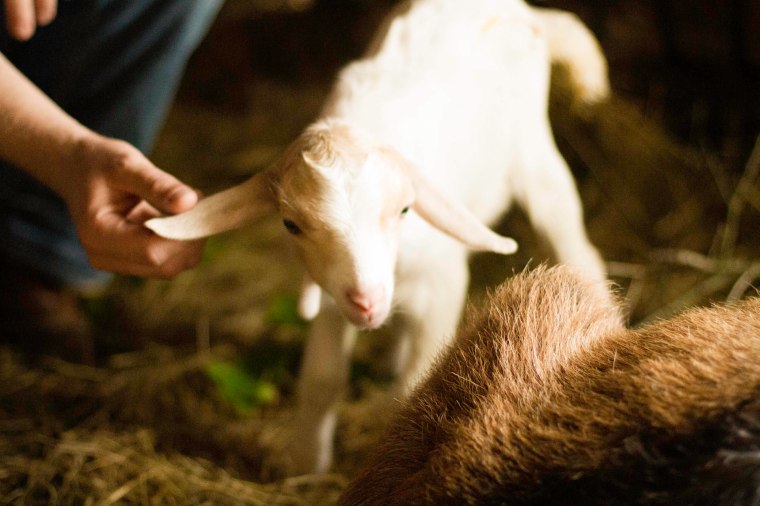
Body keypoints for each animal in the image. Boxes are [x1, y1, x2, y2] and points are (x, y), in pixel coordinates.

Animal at [146, 0, 608, 474]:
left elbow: (416, 385)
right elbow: (323, 379)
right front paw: (305, 469)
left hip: (533, 151)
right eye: (291, 224)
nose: (366, 301)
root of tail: (521, 9)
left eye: (404, 209)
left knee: (573, 241)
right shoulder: (333, 294)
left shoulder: (442, 284)